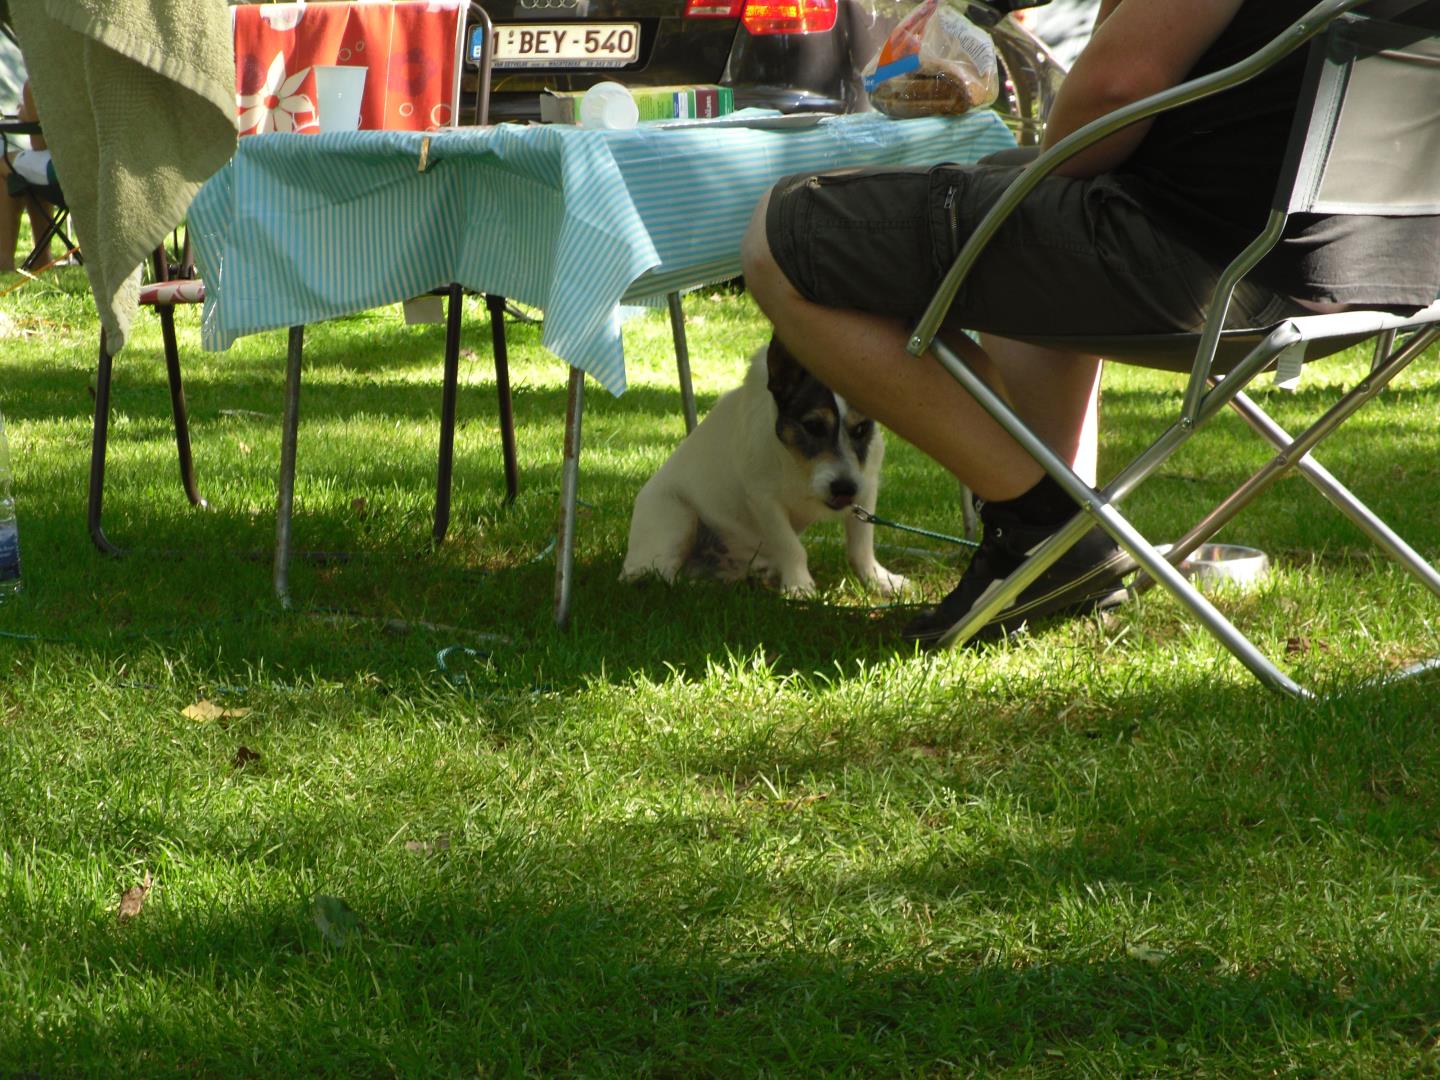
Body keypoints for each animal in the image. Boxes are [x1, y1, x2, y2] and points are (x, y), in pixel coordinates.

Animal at [621, 337, 908, 597]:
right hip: (677, 519)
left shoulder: (866, 489)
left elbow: (861, 545)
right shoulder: (764, 500)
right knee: (656, 576)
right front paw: (799, 586)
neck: (797, 466)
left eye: (861, 429)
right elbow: (791, 546)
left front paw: (879, 580)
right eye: (813, 426)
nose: (844, 489)